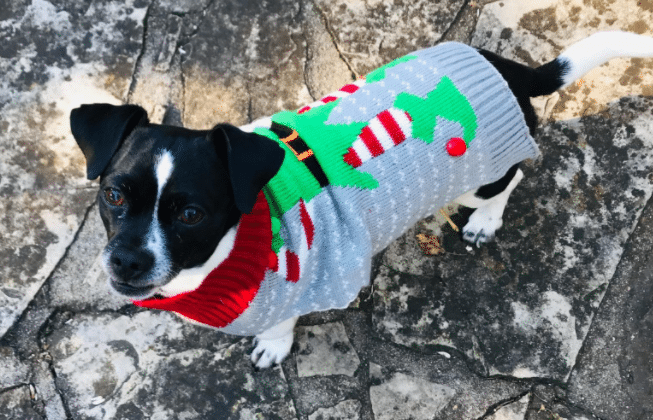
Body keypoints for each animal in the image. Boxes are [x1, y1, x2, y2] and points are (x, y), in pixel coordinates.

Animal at [69, 32, 652, 368]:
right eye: (114, 195)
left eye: (191, 214)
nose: (126, 261)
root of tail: (509, 71)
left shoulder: (304, 286)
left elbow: (280, 324)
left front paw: (273, 346)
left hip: (481, 176)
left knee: (513, 177)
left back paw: (486, 219)